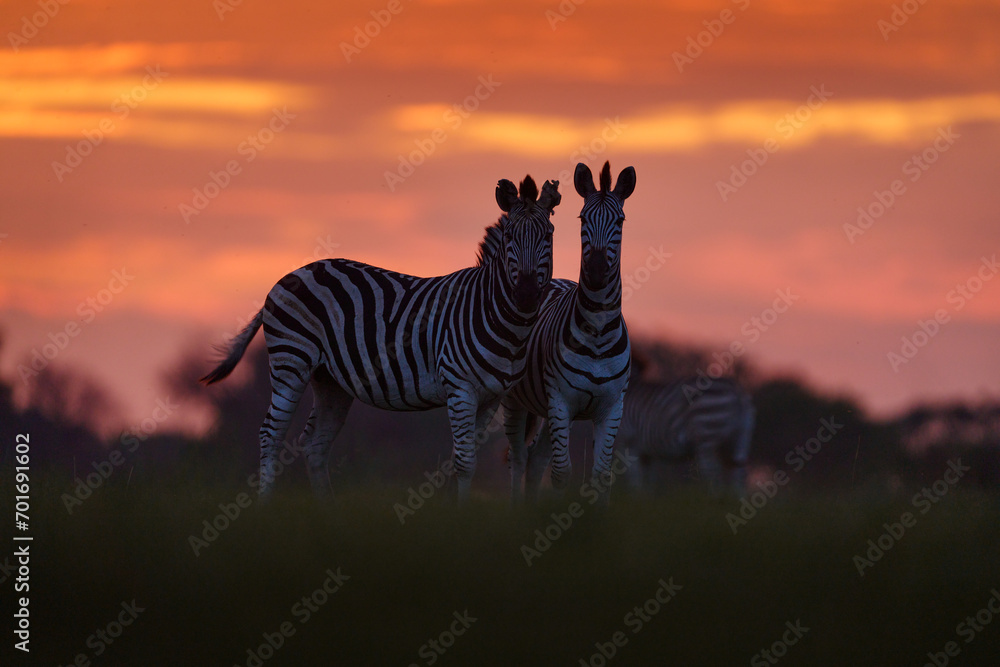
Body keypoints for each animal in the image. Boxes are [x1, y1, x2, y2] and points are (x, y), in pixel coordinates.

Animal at [201, 176, 561, 501]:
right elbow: (465, 462)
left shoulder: (490, 396)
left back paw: (329, 516)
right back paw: (266, 508)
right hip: (291, 361)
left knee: (315, 443)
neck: (496, 315)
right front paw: (459, 515)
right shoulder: (459, 387)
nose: (526, 294)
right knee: (271, 434)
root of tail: (289, 275)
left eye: (548, 236)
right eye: (510, 236)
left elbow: (465, 458)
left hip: (330, 380)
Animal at [504, 162, 635, 504]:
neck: (598, 331)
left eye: (620, 220)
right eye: (582, 219)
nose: (598, 271)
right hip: (516, 400)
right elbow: (562, 473)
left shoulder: (611, 408)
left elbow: (601, 476)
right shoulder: (561, 400)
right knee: (518, 457)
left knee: (535, 459)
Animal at [616, 376, 755, 495]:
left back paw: (712, 501)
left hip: (706, 434)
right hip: (741, 436)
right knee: (739, 470)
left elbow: (632, 476)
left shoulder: (625, 440)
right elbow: (647, 479)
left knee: (713, 470)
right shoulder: (645, 449)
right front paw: (644, 499)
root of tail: (737, 389)